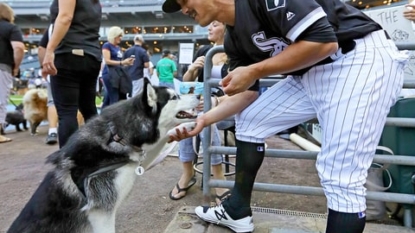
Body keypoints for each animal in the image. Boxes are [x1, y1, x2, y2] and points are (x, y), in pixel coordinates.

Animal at [7, 78, 200, 233]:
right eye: (174, 97)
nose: (198, 94)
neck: (117, 136)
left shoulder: (134, 164)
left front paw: (189, 126)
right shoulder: (101, 213)